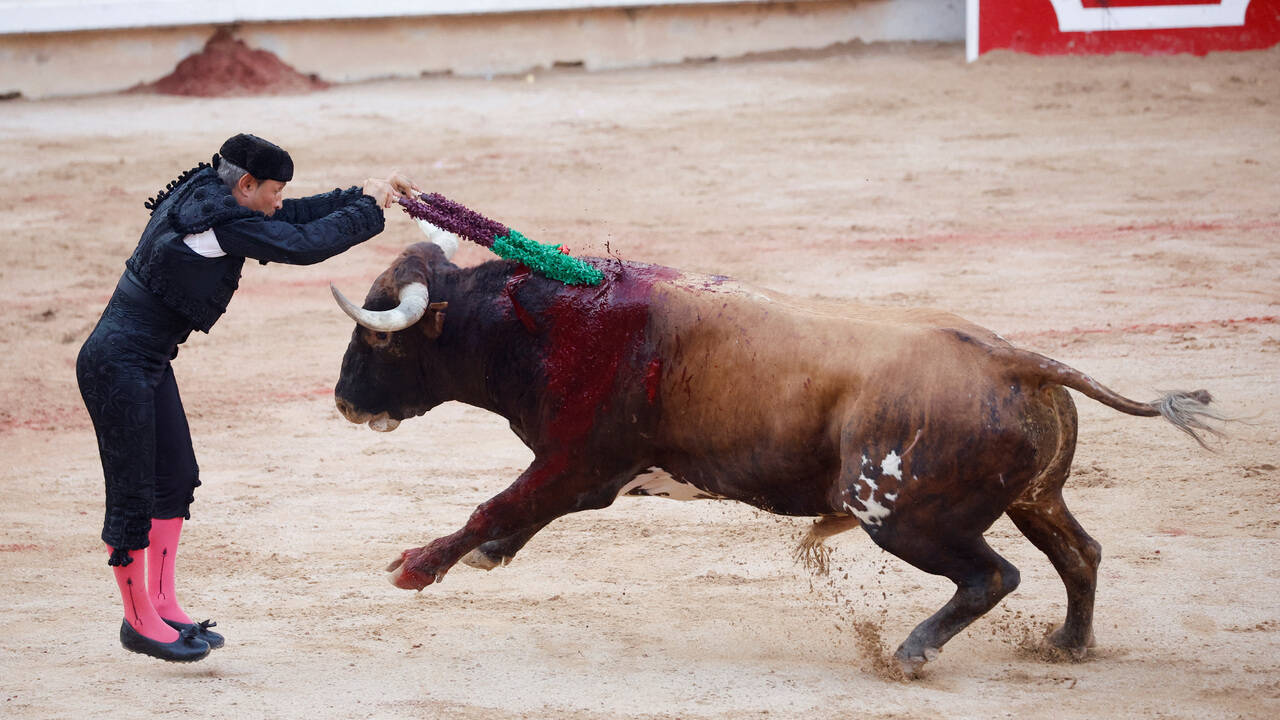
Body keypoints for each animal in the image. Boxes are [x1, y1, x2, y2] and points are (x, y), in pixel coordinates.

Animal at [330, 234, 1218, 671]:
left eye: (380, 337)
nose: (342, 400)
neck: (551, 322)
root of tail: (1016, 359)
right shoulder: (585, 474)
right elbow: (516, 512)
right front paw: (484, 557)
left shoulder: (578, 460)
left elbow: (497, 503)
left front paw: (415, 567)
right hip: (1035, 496)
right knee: (1080, 553)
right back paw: (1068, 645)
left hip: (898, 514)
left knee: (993, 576)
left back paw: (911, 653)